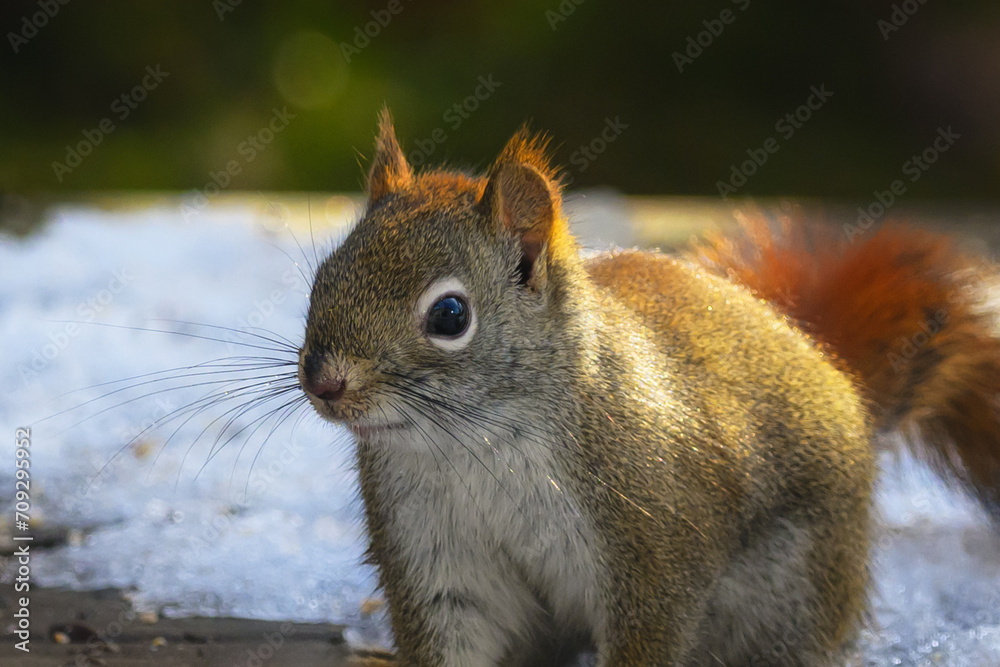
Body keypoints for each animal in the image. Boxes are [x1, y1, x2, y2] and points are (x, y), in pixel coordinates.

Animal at [297, 110, 1000, 666]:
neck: (478, 444)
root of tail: (841, 384)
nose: (324, 383)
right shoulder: (435, 556)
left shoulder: (654, 547)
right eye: (326, 276)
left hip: (794, 592)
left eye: (449, 316)